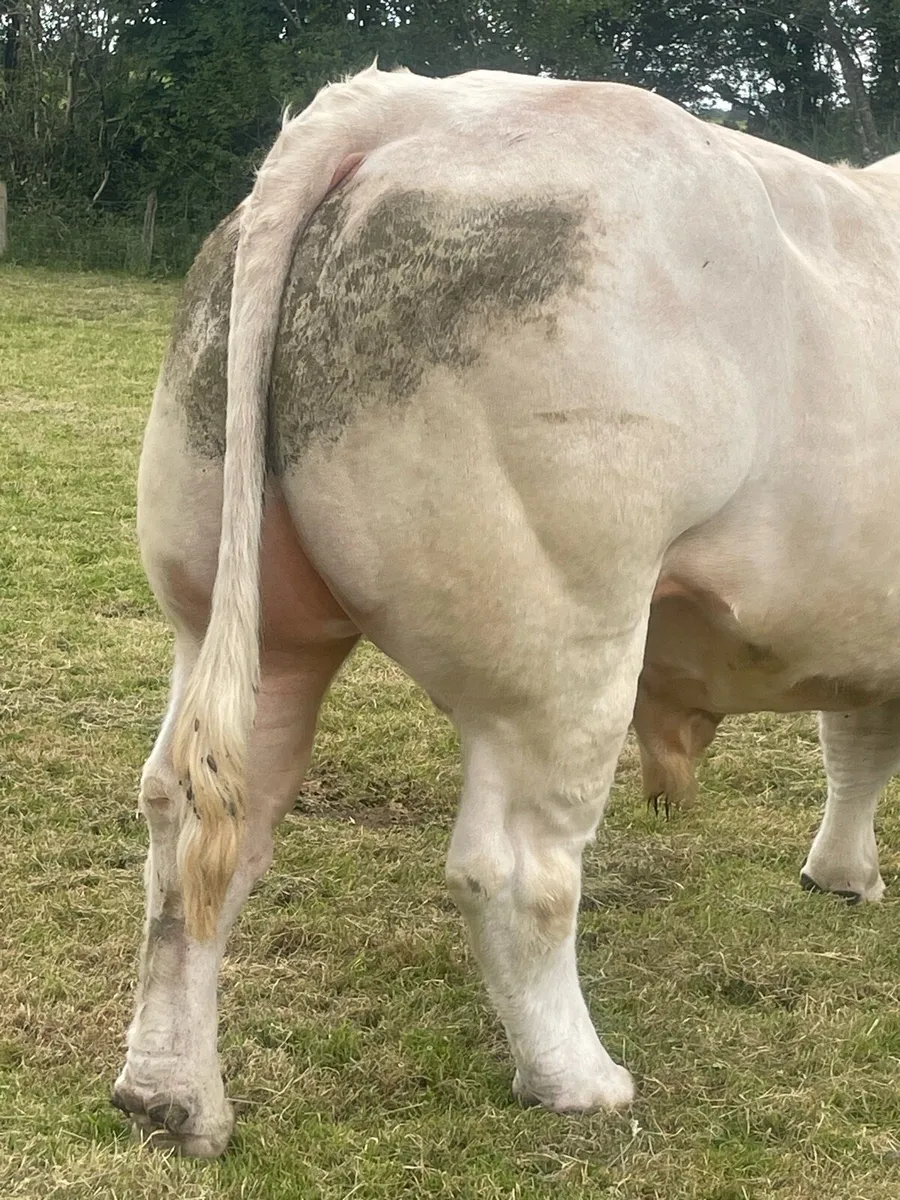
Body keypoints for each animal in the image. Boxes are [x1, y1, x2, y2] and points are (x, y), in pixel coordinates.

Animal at [112, 64, 900, 1156]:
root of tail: (413, 108)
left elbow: (854, 741)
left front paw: (840, 874)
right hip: (564, 639)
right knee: (519, 869)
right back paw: (580, 1079)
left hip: (239, 616)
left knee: (195, 818)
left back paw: (170, 1094)